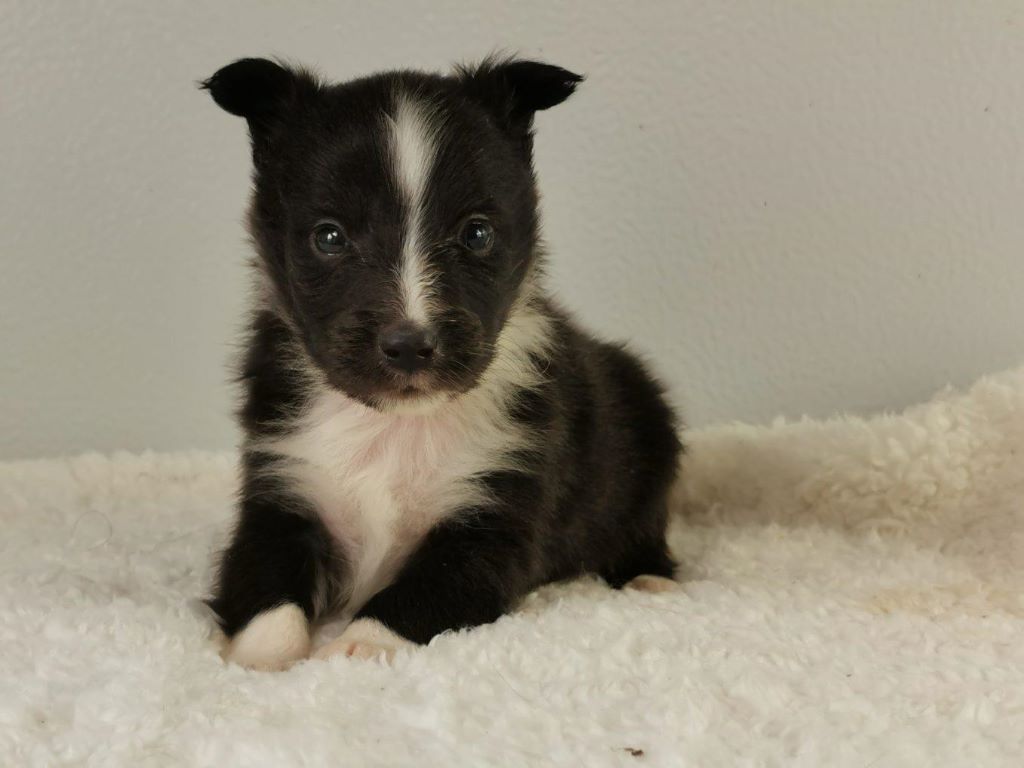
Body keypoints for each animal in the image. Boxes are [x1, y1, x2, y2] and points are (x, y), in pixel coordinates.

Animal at [200, 57, 684, 671]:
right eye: (329, 237)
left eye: (476, 233)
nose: (410, 345)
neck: (393, 425)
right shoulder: (281, 488)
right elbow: (266, 588)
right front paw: (260, 660)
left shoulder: (493, 519)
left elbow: (422, 591)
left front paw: (358, 647)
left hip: (648, 433)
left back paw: (652, 582)